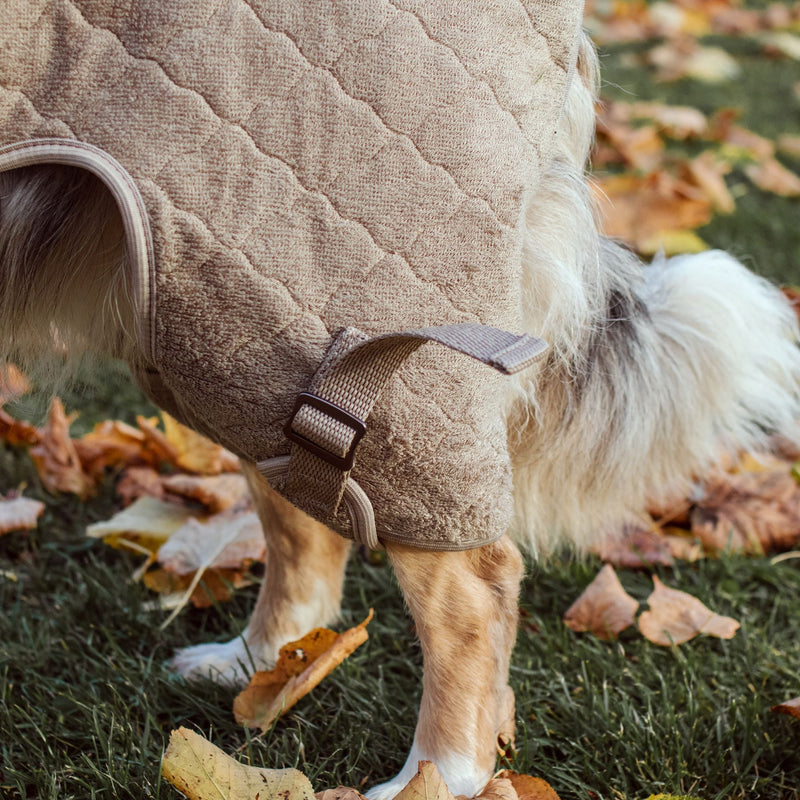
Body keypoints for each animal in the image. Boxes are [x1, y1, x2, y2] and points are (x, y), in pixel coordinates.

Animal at [1, 25, 800, 800]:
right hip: (232, 341)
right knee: (307, 523)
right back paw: (264, 667)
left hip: (298, 318)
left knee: (471, 589)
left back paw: (437, 776)